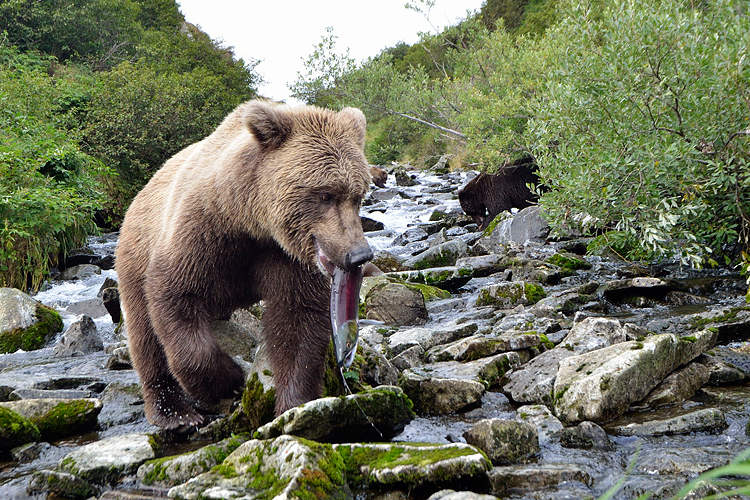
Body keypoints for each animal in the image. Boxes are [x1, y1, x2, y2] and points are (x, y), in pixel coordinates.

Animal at [117, 100, 374, 430]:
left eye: (358, 194)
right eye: (325, 194)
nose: (358, 254)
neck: (249, 220)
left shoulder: (283, 257)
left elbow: (297, 322)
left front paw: (294, 404)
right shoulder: (202, 233)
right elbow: (176, 297)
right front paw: (230, 379)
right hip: (135, 255)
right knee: (144, 335)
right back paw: (174, 412)